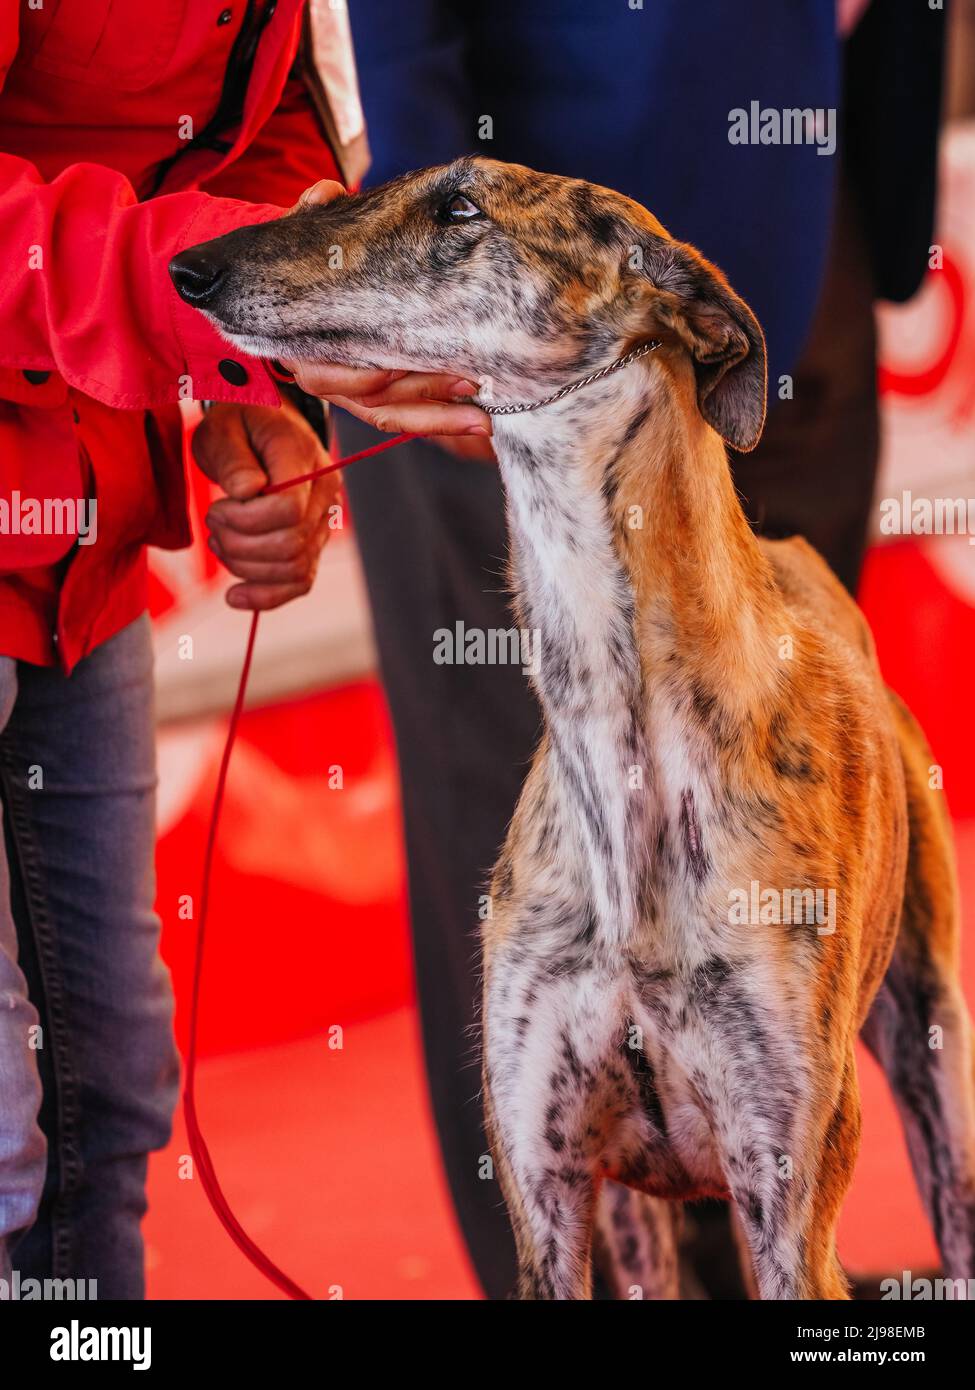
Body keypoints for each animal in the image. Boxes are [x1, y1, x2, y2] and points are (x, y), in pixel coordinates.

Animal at [171, 157, 973, 1295]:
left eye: (462, 207)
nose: (190, 266)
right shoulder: (544, 1191)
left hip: (931, 1052)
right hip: (631, 1213)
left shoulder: (787, 1198)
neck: (622, 737)